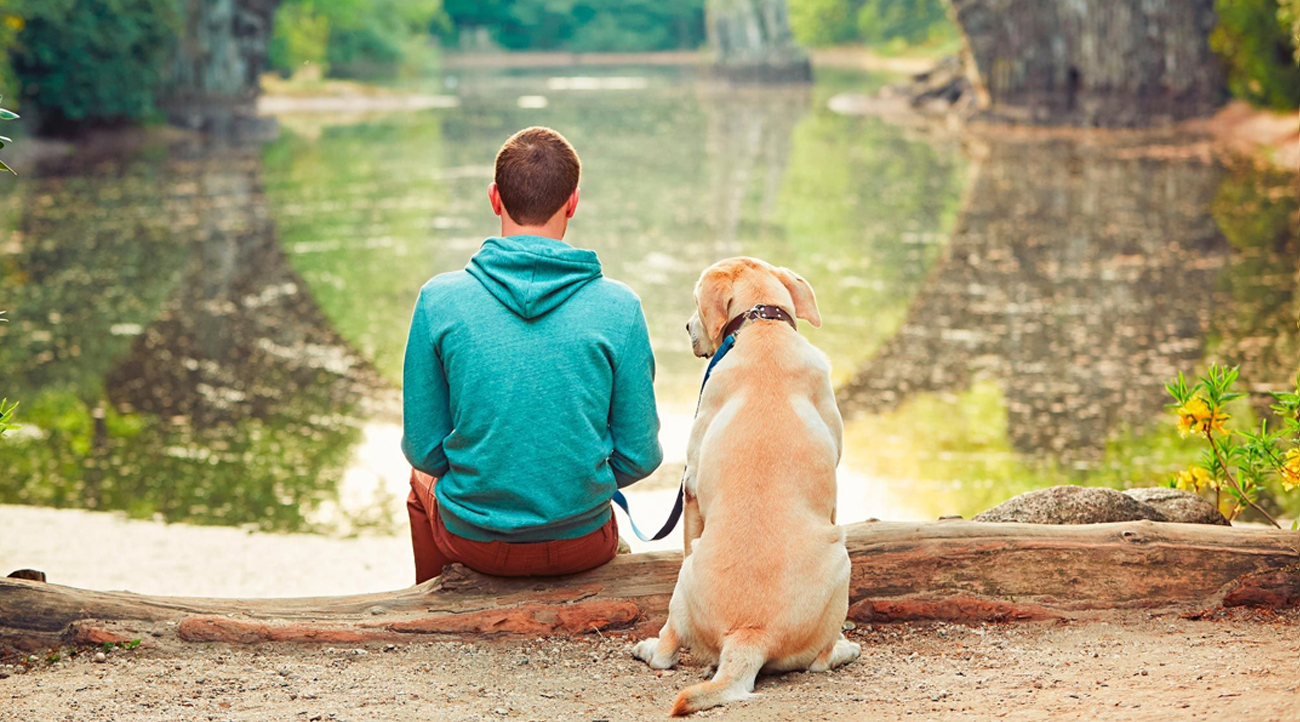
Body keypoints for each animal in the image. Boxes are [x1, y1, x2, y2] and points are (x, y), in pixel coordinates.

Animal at [631, 257, 857, 712]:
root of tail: (750, 635)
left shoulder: (690, 487)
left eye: (695, 302)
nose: (685, 327)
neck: (762, 327)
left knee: (667, 649)